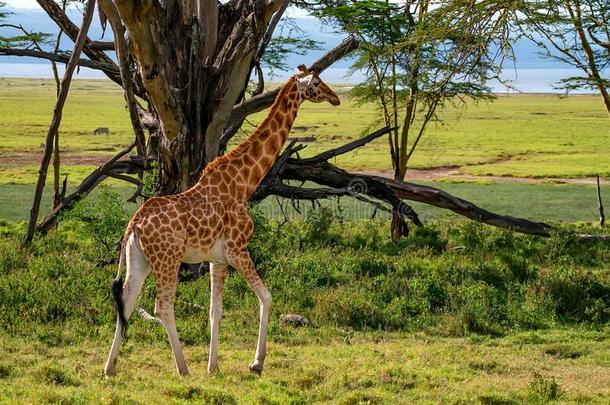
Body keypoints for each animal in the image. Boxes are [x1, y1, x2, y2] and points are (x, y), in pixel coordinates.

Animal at [105, 64, 342, 376]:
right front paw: (256, 363)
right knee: (162, 306)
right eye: (316, 82)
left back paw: (109, 368)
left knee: (127, 300)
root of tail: (135, 222)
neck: (245, 182)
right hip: (168, 259)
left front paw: (213, 366)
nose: (335, 97)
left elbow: (215, 310)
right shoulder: (237, 249)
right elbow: (267, 297)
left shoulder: (216, 259)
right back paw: (183, 368)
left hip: (139, 260)